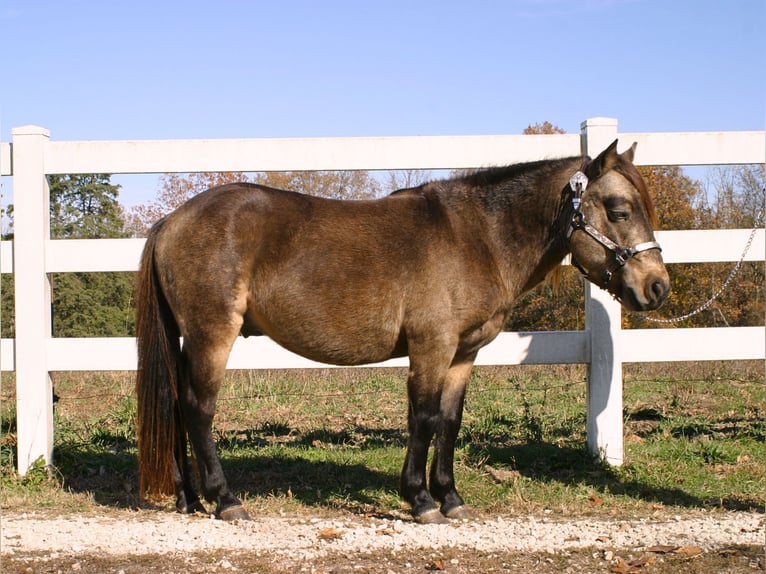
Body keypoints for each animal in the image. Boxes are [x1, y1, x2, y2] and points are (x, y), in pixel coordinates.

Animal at [135, 140, 670, 524]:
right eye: (620, 209)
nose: (657, 287)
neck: (476, 237)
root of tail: (171, 221)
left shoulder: (462, 354)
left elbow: (449, 423)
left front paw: (450, 497)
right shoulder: (431, 348)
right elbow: (424, 419)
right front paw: (421, 501)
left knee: (177, 406)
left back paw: (187, 498)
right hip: (212, 335)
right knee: (198, 409)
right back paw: (225, 499)